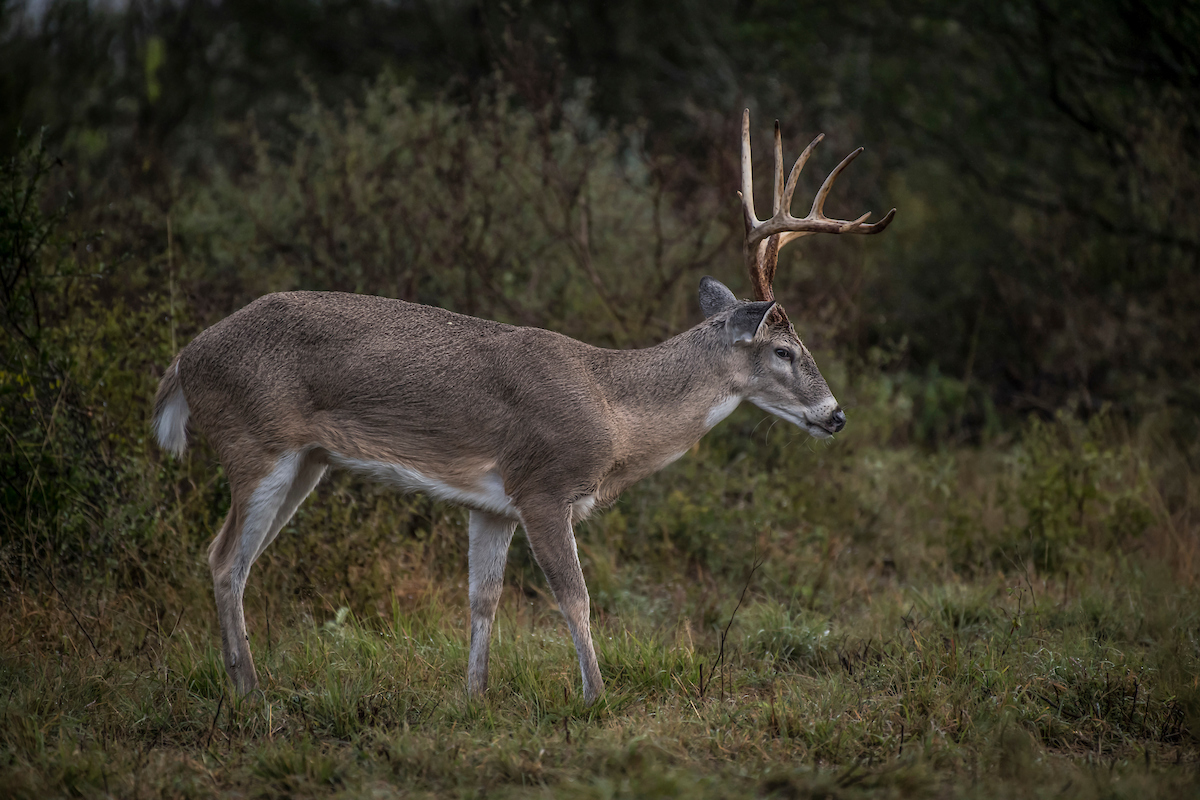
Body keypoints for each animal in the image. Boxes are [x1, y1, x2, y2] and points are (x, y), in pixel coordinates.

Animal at [154, 109, 892, 705]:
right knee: (223, 558)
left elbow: (484, 598)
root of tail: (184, 362)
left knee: (237, 560)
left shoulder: (492, 503)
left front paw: (474, 696)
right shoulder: (543, 485)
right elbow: (576, 597)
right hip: (255, 443)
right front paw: (596, 697)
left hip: (307, 461)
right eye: (785, 351)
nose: (836, 415)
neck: (615, 408)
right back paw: (249, 692)